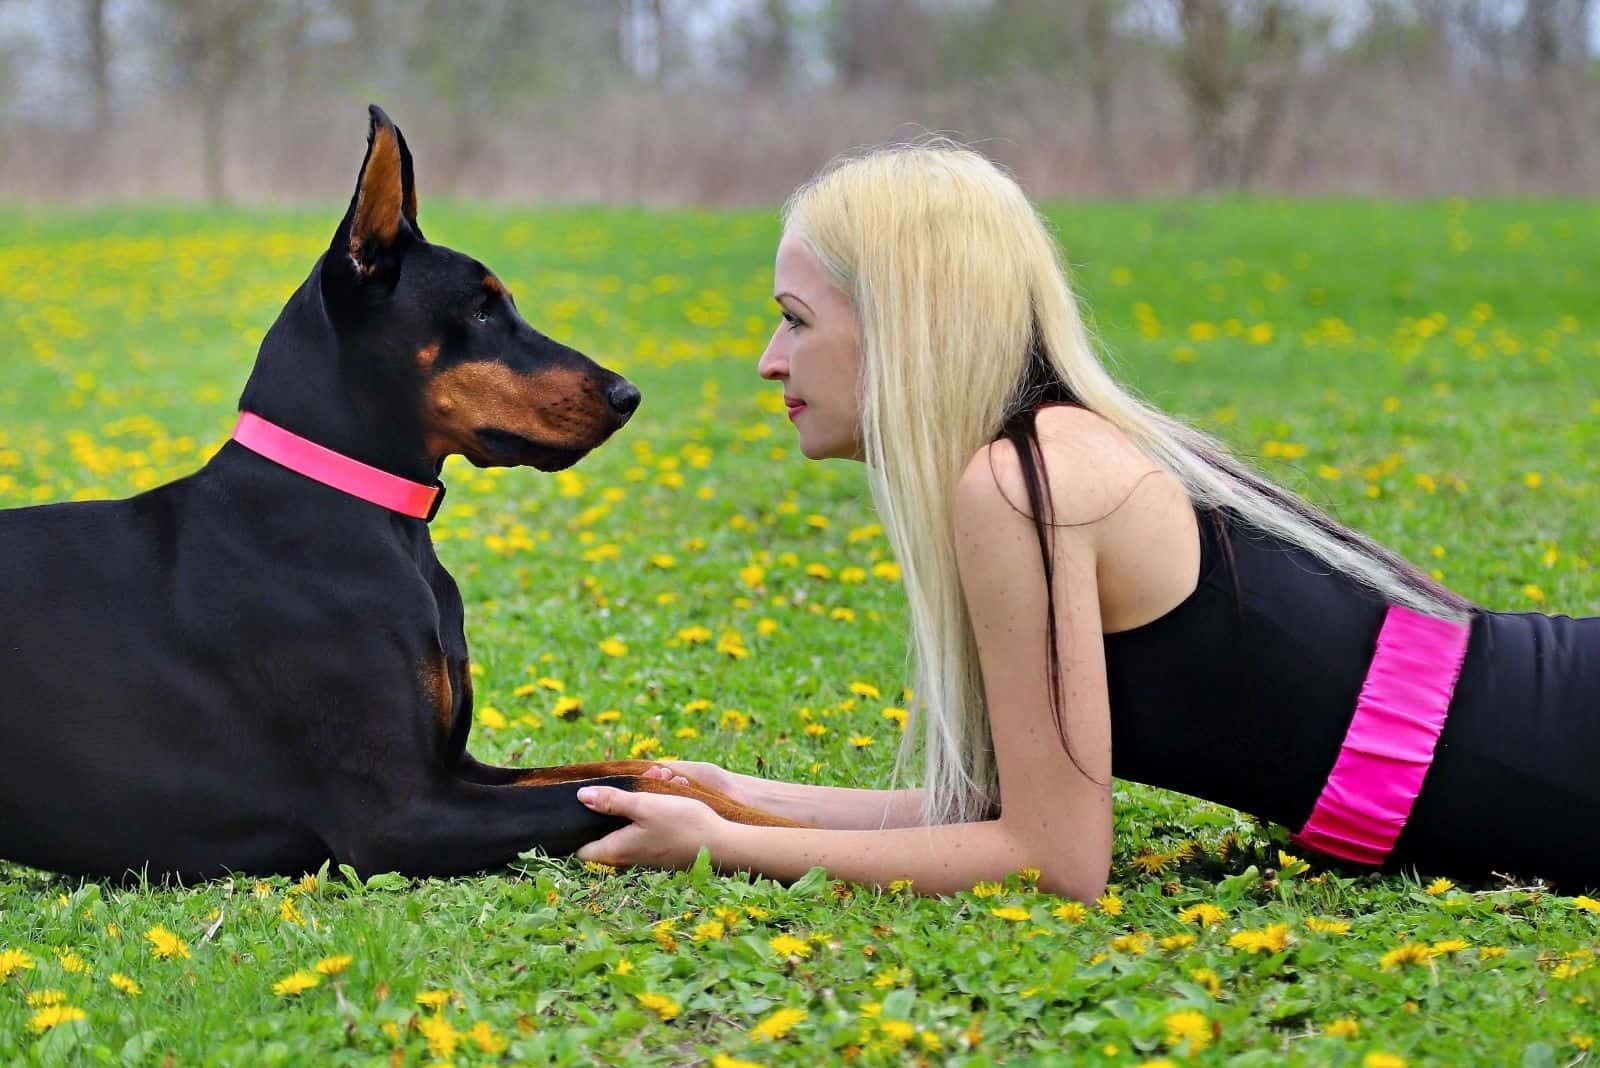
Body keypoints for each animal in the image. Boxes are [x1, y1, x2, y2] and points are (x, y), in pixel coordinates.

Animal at [0, 103, 793, 882]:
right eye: (481, 310)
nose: (628, 396)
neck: (374, 514)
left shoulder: (456, 765)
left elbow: (656, 771)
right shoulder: (404, 814)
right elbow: (632, 785)